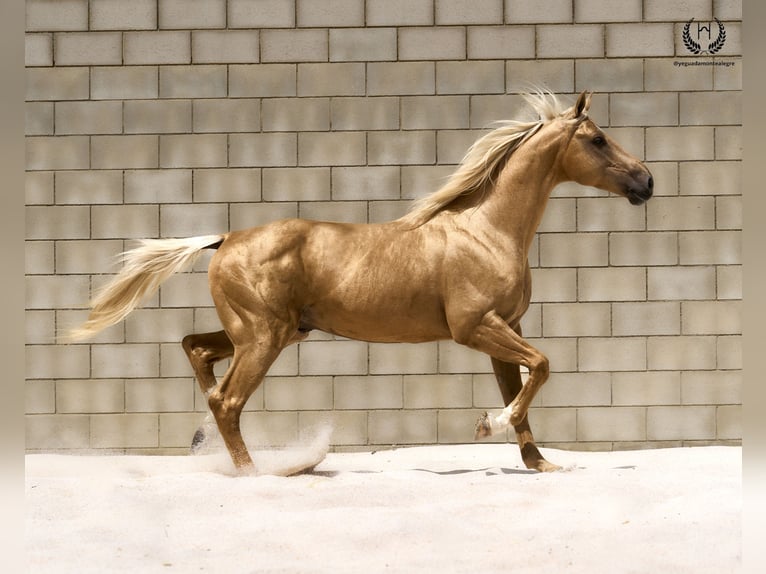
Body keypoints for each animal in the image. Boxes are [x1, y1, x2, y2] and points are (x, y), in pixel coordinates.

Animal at [70, 92, 656, 474]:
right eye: (599, 139)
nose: (647, 182)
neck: (486, 229)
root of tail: (225, 238)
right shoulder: (475, 328)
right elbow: (543, 368)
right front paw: (487, 425)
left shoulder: (503, 329)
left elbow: (525, 387)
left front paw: (540, 464)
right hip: (262, 337)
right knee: (227, 400)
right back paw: (254, 472)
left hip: (269, 332)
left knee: (195, 350)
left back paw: (208, 445)